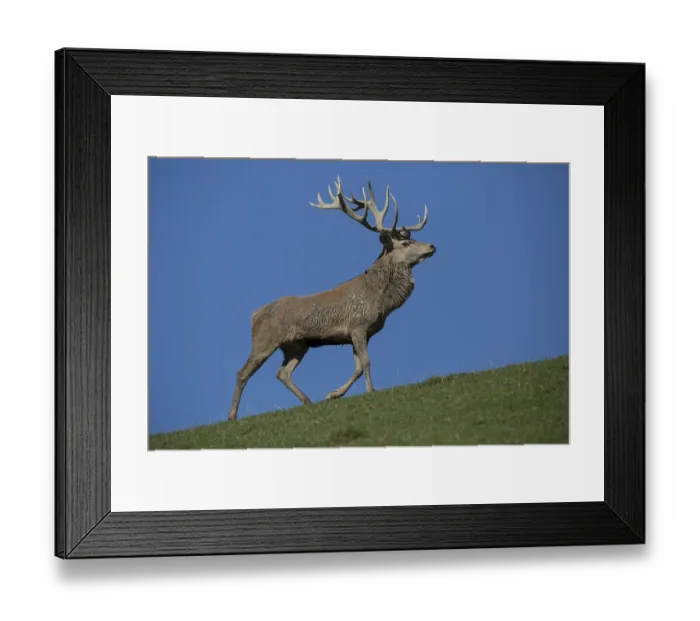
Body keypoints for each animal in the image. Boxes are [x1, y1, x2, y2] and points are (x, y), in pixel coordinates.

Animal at [227, 177, 436, 421]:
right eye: (405, 244)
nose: (432, 246)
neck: (380, 301)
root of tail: (254, 315)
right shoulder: (357, 325)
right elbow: (366, 362)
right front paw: (371, 390)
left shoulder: (361, 332)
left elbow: (357, 367)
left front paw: (333, 394)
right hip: (264, 340)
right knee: (242, 372)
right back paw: (232, 415)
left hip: (297, 345)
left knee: (282, 372)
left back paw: (307, 400)